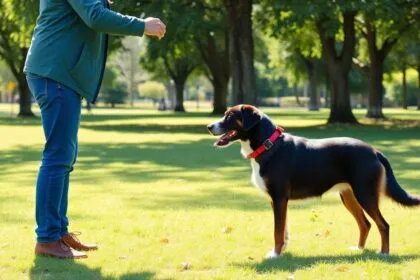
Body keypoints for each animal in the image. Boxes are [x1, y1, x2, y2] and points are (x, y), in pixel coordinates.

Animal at [208, 104, 420, 258]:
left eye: (230, 116)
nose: (209, 127)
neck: (269, 146)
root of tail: (374, 151)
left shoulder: (279, 198)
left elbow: (277, 230)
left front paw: (275, 254)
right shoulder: (277, 201)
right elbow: (283, 229)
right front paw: (282, 250)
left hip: (365, 194)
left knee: (383, 225)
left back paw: (384, 253)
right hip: (349, 196)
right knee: (365, 224)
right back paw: (358, 249)